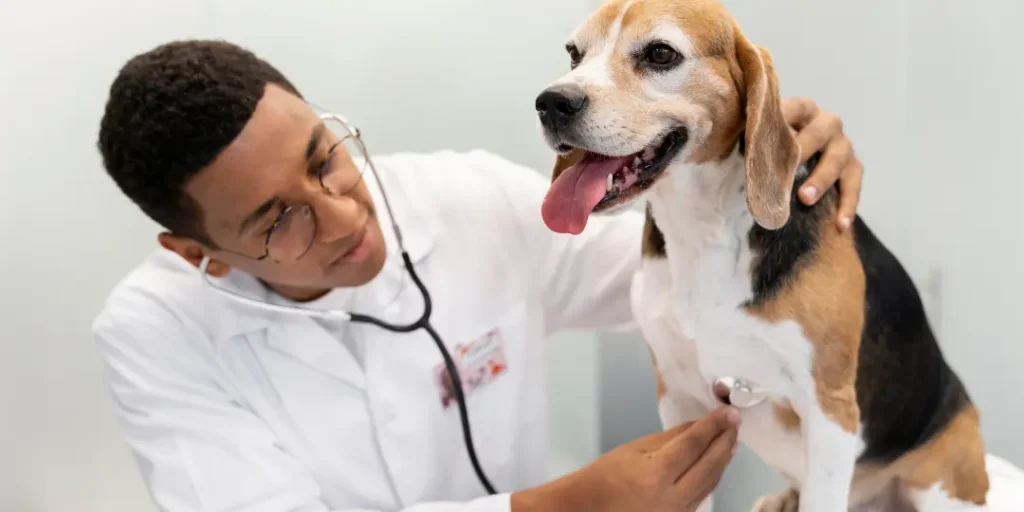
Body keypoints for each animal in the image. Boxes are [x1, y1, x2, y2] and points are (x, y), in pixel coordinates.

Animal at [532, 0, 995, 509]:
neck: (704, 229)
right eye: (574, 53)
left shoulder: (830, 411)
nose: (551, 103)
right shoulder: (677, 396)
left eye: (660, 53)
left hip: (941, 475)